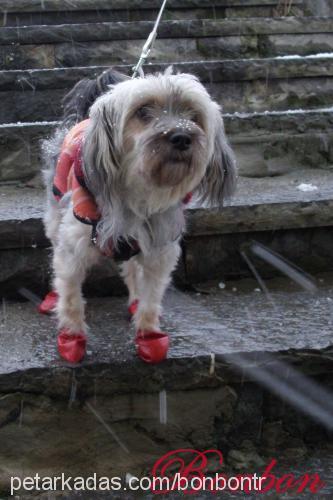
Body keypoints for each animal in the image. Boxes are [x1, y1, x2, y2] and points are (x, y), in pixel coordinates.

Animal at [42, 67, 236, 364]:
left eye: (194, 115)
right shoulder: (73, 250)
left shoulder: (159, 251)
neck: (139, 195)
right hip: (55, 214)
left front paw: (149, 336)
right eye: (143, 111)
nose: (181, 137)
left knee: (132, 269)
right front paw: (72, 338)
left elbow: (151, 298)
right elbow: (72, 297)